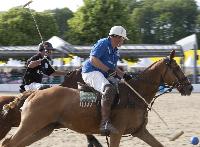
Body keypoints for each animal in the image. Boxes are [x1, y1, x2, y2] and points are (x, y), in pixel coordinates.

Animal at [0, 50, 193, 146]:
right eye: (176, 68)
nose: (190, 87)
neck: (136, 94)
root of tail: (33, 93)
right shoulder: (116, 133)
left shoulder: (140, 131)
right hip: (30, 124)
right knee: (9, 142)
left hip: (43, 128)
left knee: (13, 144)